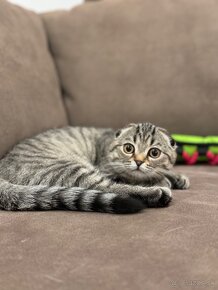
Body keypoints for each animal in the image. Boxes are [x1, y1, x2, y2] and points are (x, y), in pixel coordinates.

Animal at [0, 121, 189, 214]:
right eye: (128, 148)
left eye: (154, 153)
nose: (139, 161)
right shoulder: (107, 169)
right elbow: (129, 178)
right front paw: (162, 181)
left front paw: (176, 177)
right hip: (70, 168)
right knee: (109, 188)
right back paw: (157, 194)